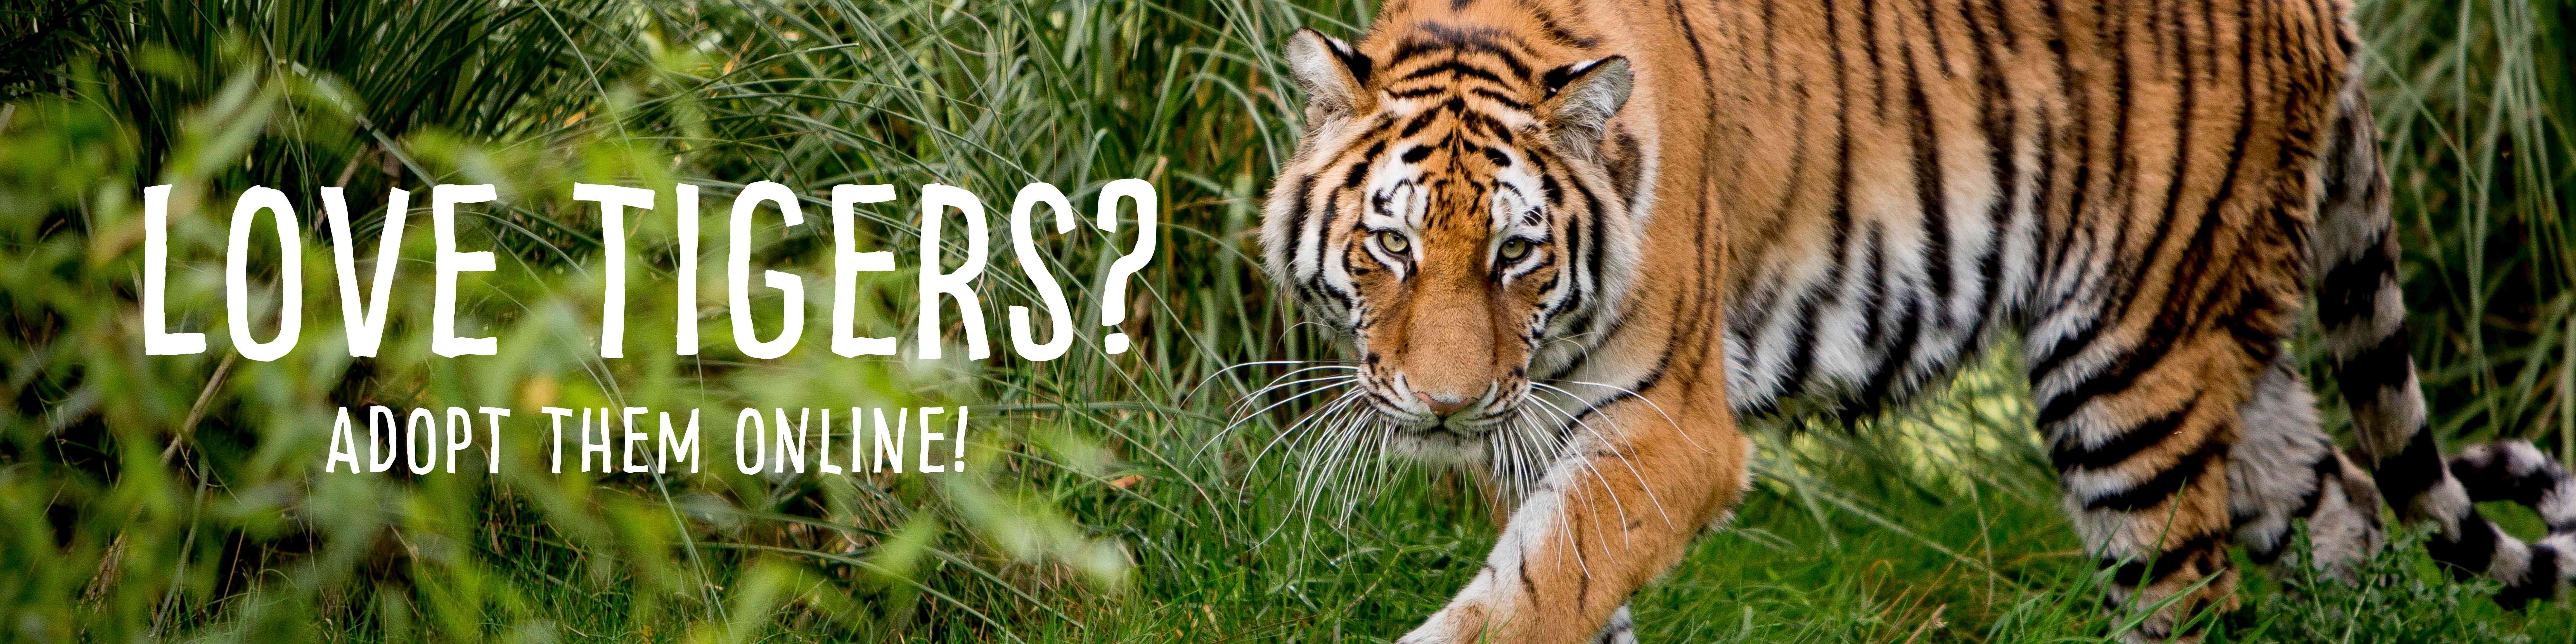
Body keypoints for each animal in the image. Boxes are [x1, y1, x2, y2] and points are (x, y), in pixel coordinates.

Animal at [1256, 0, 2576, 641]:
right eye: (1390, 245)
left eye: (1516, 253)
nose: (1446, 407)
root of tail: (2319, 5)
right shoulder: (1533, 436)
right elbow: (1561, 590)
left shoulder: (1667, 434)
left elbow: (1536, 592)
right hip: (2232, 362)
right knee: (2346, 512)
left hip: (2128, 367)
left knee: (2184, 593)